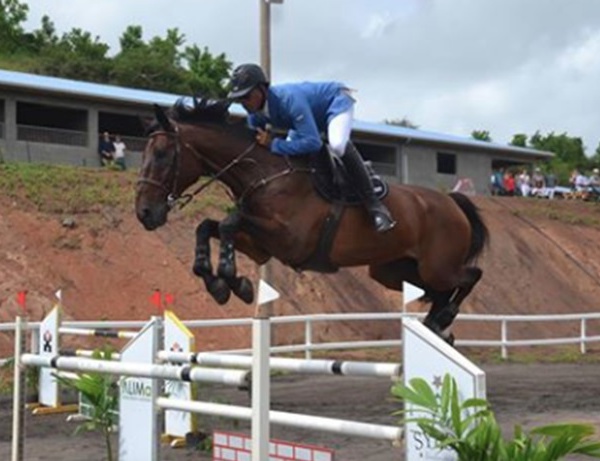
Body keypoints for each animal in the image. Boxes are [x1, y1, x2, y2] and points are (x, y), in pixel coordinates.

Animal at [135, 99, 488, 342]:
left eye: (162, 155)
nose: (144, 213)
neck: (264, 174)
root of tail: (451, 201)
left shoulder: (289, 240)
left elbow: (228, 223)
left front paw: (229, 279)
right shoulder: (262, 246)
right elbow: (209, 226)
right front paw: (223, 284)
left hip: (437, 265)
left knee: (470, 276)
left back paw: (444, 318)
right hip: (392, 270)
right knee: (438, 289)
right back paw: (438, 324)